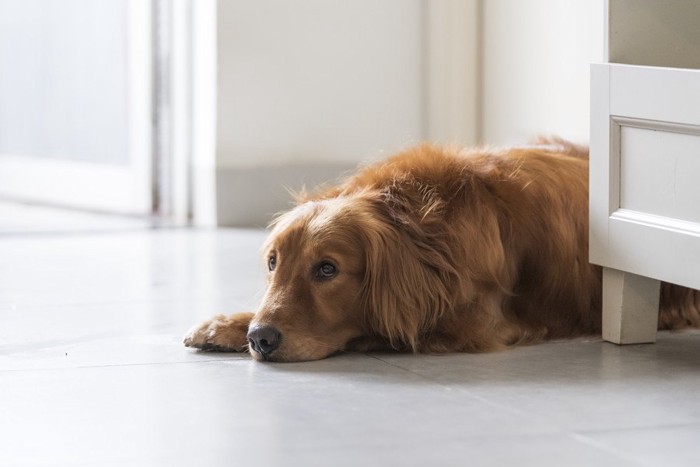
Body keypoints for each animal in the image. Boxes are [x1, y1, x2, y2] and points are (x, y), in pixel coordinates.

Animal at [182, 141, 700, 364]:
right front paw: (225, 324)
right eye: (274, 264)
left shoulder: (473, 323)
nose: (261, 339)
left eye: (327, 269)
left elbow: (386, 328)